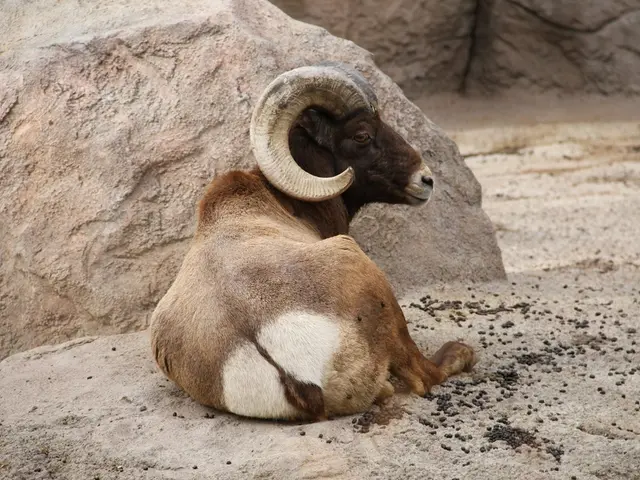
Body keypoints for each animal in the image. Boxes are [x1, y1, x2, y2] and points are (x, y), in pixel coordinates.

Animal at [149, 63, 477, 421]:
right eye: (362, 135)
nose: (426, 180)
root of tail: (298, 377)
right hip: (362, 270)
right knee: (422, 376)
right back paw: (461, 353)